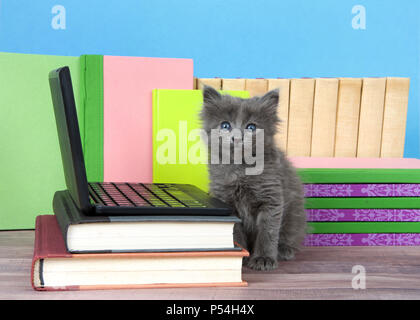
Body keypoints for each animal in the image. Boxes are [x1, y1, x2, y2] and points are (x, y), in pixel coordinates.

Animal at [199, 86, 306, 272]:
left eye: (251, 127)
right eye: (225, 125)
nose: (237, 137)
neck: (241, 169)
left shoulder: (271, 197)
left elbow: (267, 232)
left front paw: (264, 258)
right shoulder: (227, 202)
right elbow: (235, 232)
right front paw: (241, 255)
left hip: (294, 213)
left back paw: (284, 250)